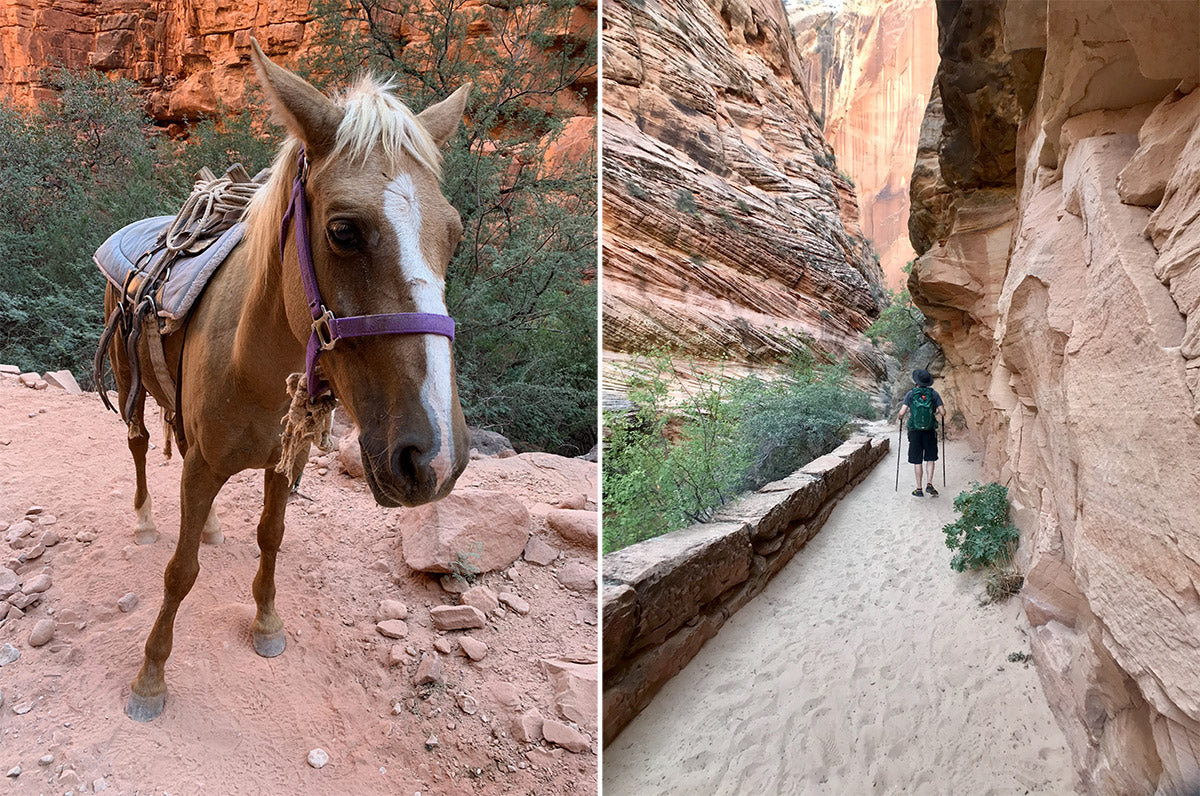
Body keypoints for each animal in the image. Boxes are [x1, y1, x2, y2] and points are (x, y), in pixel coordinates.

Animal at [106, 42, 472, 720]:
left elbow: (271, 537)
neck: (253, 364)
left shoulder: (285, 460)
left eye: (454, 236)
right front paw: (150, 677)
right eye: (343, 231)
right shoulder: (201, 467)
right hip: (127, 382)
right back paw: (144, 520)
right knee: (140, 444)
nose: (435, 460)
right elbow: (180, 570)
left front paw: (267, 623)